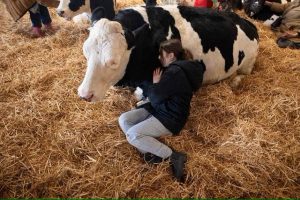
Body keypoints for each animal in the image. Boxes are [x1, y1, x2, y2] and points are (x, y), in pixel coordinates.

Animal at [77, 4, 258, 101]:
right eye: (85, 52)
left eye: (113, 61)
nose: (85, 94)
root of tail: (247, 22)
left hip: (248, 62)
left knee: (245, 73)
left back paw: (235, 81)